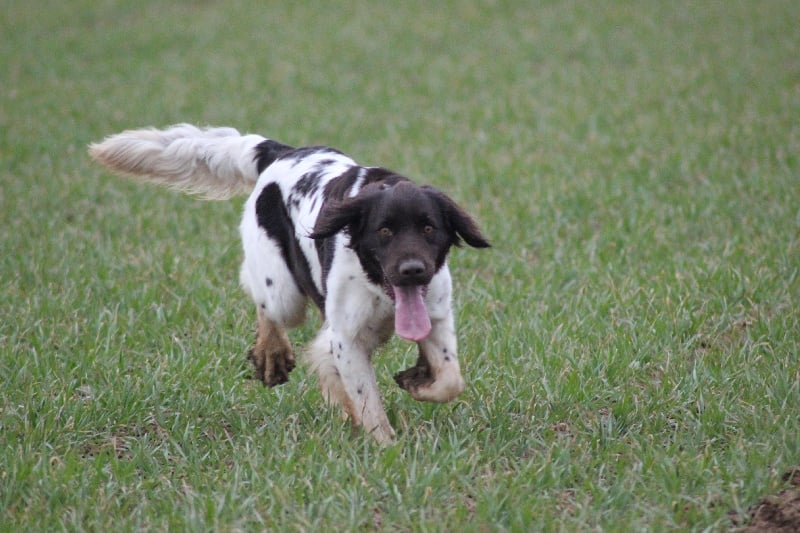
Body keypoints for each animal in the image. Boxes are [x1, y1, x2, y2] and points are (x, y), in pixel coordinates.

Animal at [89, 124, 489, 443]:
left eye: (428, 228)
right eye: (384, 231)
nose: (412, 270)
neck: (379, 288)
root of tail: (279, 152)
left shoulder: (436, 315)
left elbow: (450, 379)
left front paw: (417, 380)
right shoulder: (347, 337)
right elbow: (368, 402)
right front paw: (386, 448)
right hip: (284, 292)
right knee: (263, 299)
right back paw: (272, 355)